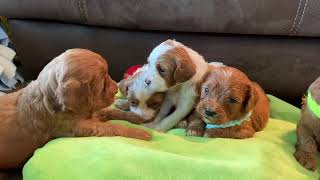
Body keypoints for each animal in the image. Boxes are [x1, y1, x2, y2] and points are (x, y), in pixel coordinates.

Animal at [0, 48, 151, 169]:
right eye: (102, 83)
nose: (116, 90)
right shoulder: (76, 127)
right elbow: (110, 127)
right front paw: (140, 133)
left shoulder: (92, 111)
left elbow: (111, 111)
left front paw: (135, 117)